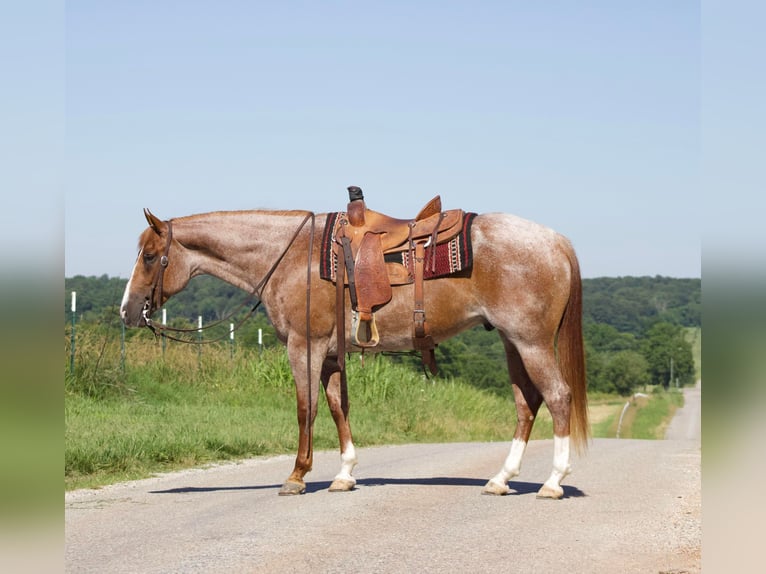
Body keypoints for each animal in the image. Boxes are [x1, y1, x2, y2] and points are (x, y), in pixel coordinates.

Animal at [120, 202, 592, 500]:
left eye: (150, 256)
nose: (127, 310)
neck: (291, 257)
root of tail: (555, 241)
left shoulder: (304, 346)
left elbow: (305, 407)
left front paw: (297, 475)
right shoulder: (331, 353)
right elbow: (336, 406)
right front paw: (344, 474)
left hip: (531, 342)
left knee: (558, 398)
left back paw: (552, 483)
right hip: (513, 342)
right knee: (527, 404)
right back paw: (500, 479)